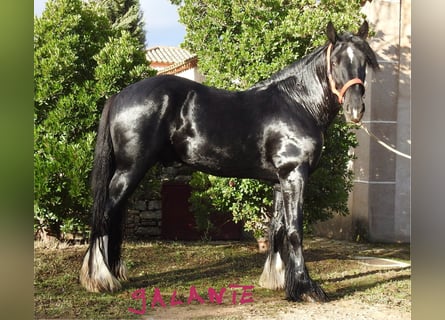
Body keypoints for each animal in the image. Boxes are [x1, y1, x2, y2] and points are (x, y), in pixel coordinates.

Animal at [80, 21, 378, 302]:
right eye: (336, 61)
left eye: (364, 61)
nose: (355, 110)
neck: (297, 104)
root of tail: (120, 95)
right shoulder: (294, 174)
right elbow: (295, 230)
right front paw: (306, 289)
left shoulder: (280, 180)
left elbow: (278, 228)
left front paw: (278, 280)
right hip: (130, 169)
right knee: (105, 213)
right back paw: (100, 278)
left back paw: (113, 272)